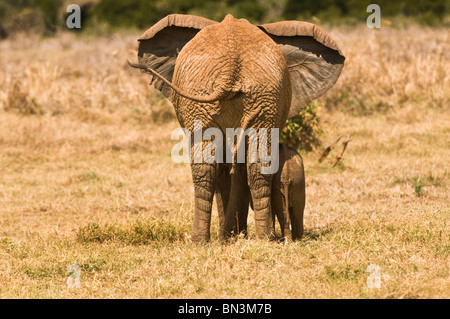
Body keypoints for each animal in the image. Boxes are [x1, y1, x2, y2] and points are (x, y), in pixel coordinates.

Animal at [128, 12, 346, 242]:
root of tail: (231, 63)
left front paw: (232, 235)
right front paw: (233, 234)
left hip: (249, 96)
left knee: (220, 167)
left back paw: (229, 239)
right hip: (232, 96)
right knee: (225, 167)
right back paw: (244, 238)